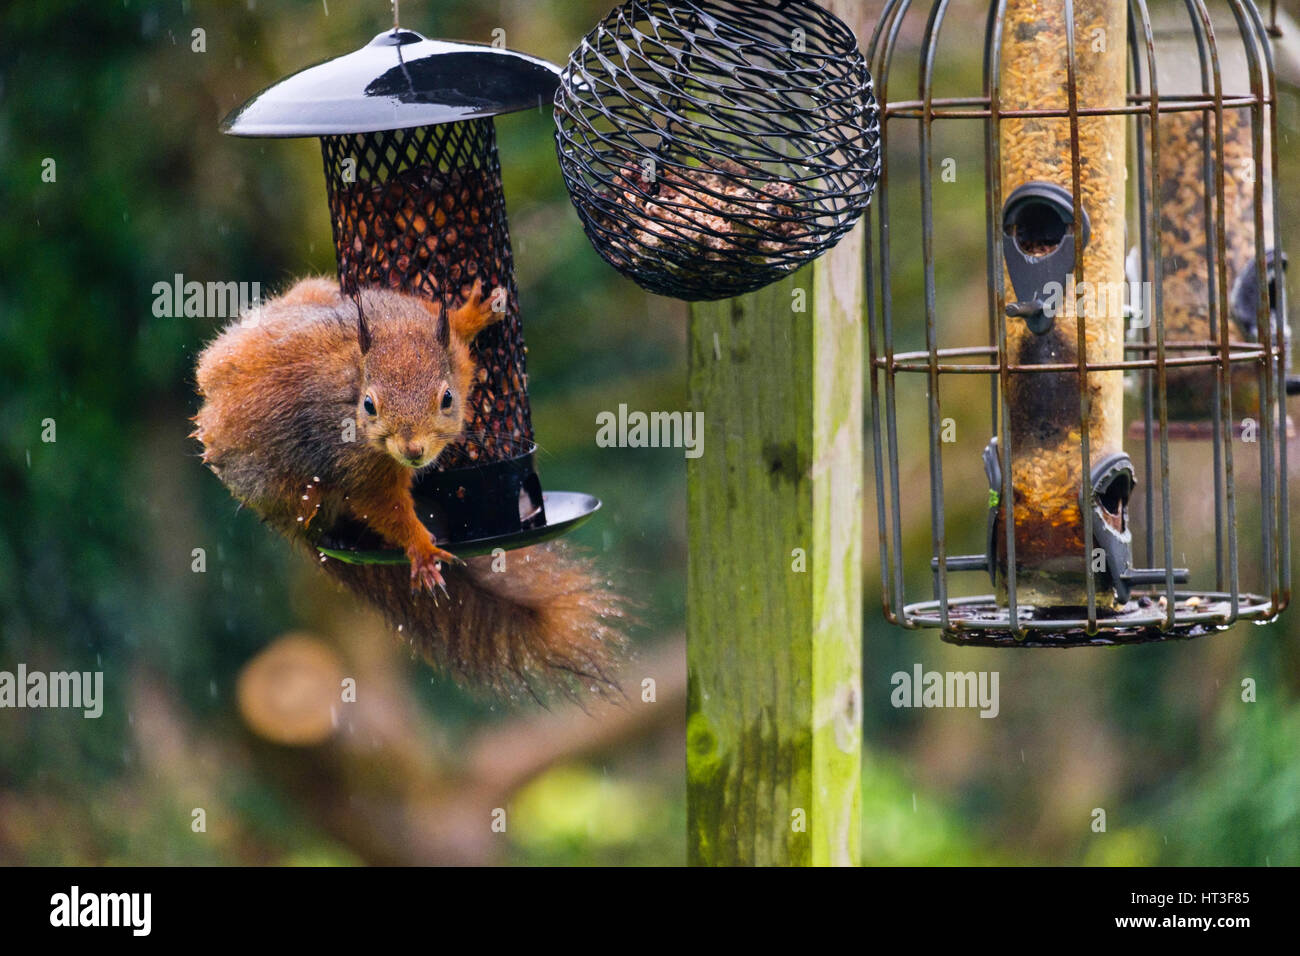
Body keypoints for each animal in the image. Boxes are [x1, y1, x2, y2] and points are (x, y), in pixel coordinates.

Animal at [193, 277, 625, 698]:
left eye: (447, 398)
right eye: (369, 405)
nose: (412, 450)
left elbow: (456, 333)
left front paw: (474, 314)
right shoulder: (358, 466)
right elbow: (384, 506)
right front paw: (421, 549)